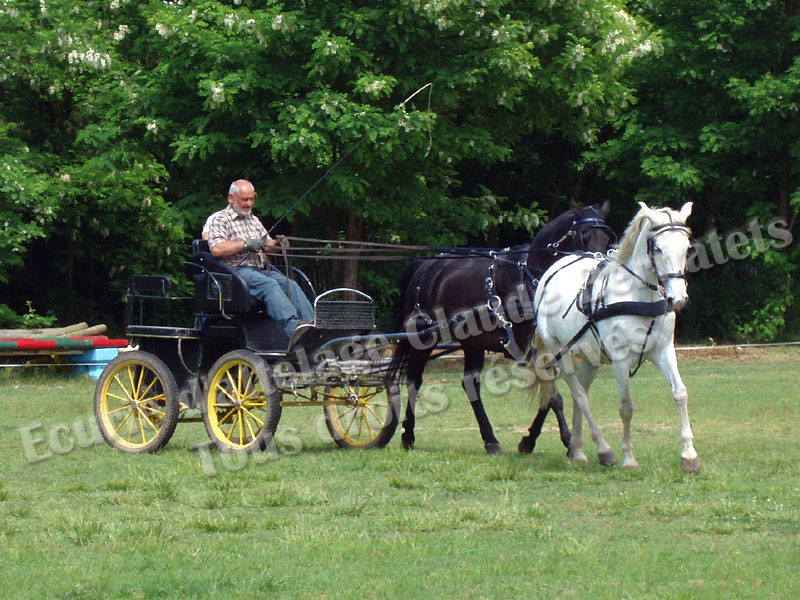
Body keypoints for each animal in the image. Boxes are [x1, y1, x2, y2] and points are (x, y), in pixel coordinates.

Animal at [392, 199, 612, 452]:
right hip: (425, 338)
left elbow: (550, 396)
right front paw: (563, 440)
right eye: (583, 236)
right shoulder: (532, 347)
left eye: (606, 237)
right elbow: (554, 397)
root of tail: (425, 265)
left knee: (470, 384)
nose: (595, 270)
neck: (532, 278)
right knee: (414, 381)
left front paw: (529, 441)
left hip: (472, 342)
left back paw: (490, 440)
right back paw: (408, 435)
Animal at [528, 202, 696, 474]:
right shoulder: (619, 358)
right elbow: (626, 406)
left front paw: (689, 455)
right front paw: (629, 457)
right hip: (559, 352)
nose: (678, 299)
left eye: (686, 247)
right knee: (579, 394)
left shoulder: (664, 350)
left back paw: (578, 450)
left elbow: (680, 393)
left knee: (580, 393)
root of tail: (548, 276)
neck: (638, 294)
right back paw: (603, 449)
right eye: (657, 248)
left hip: (591, 358)